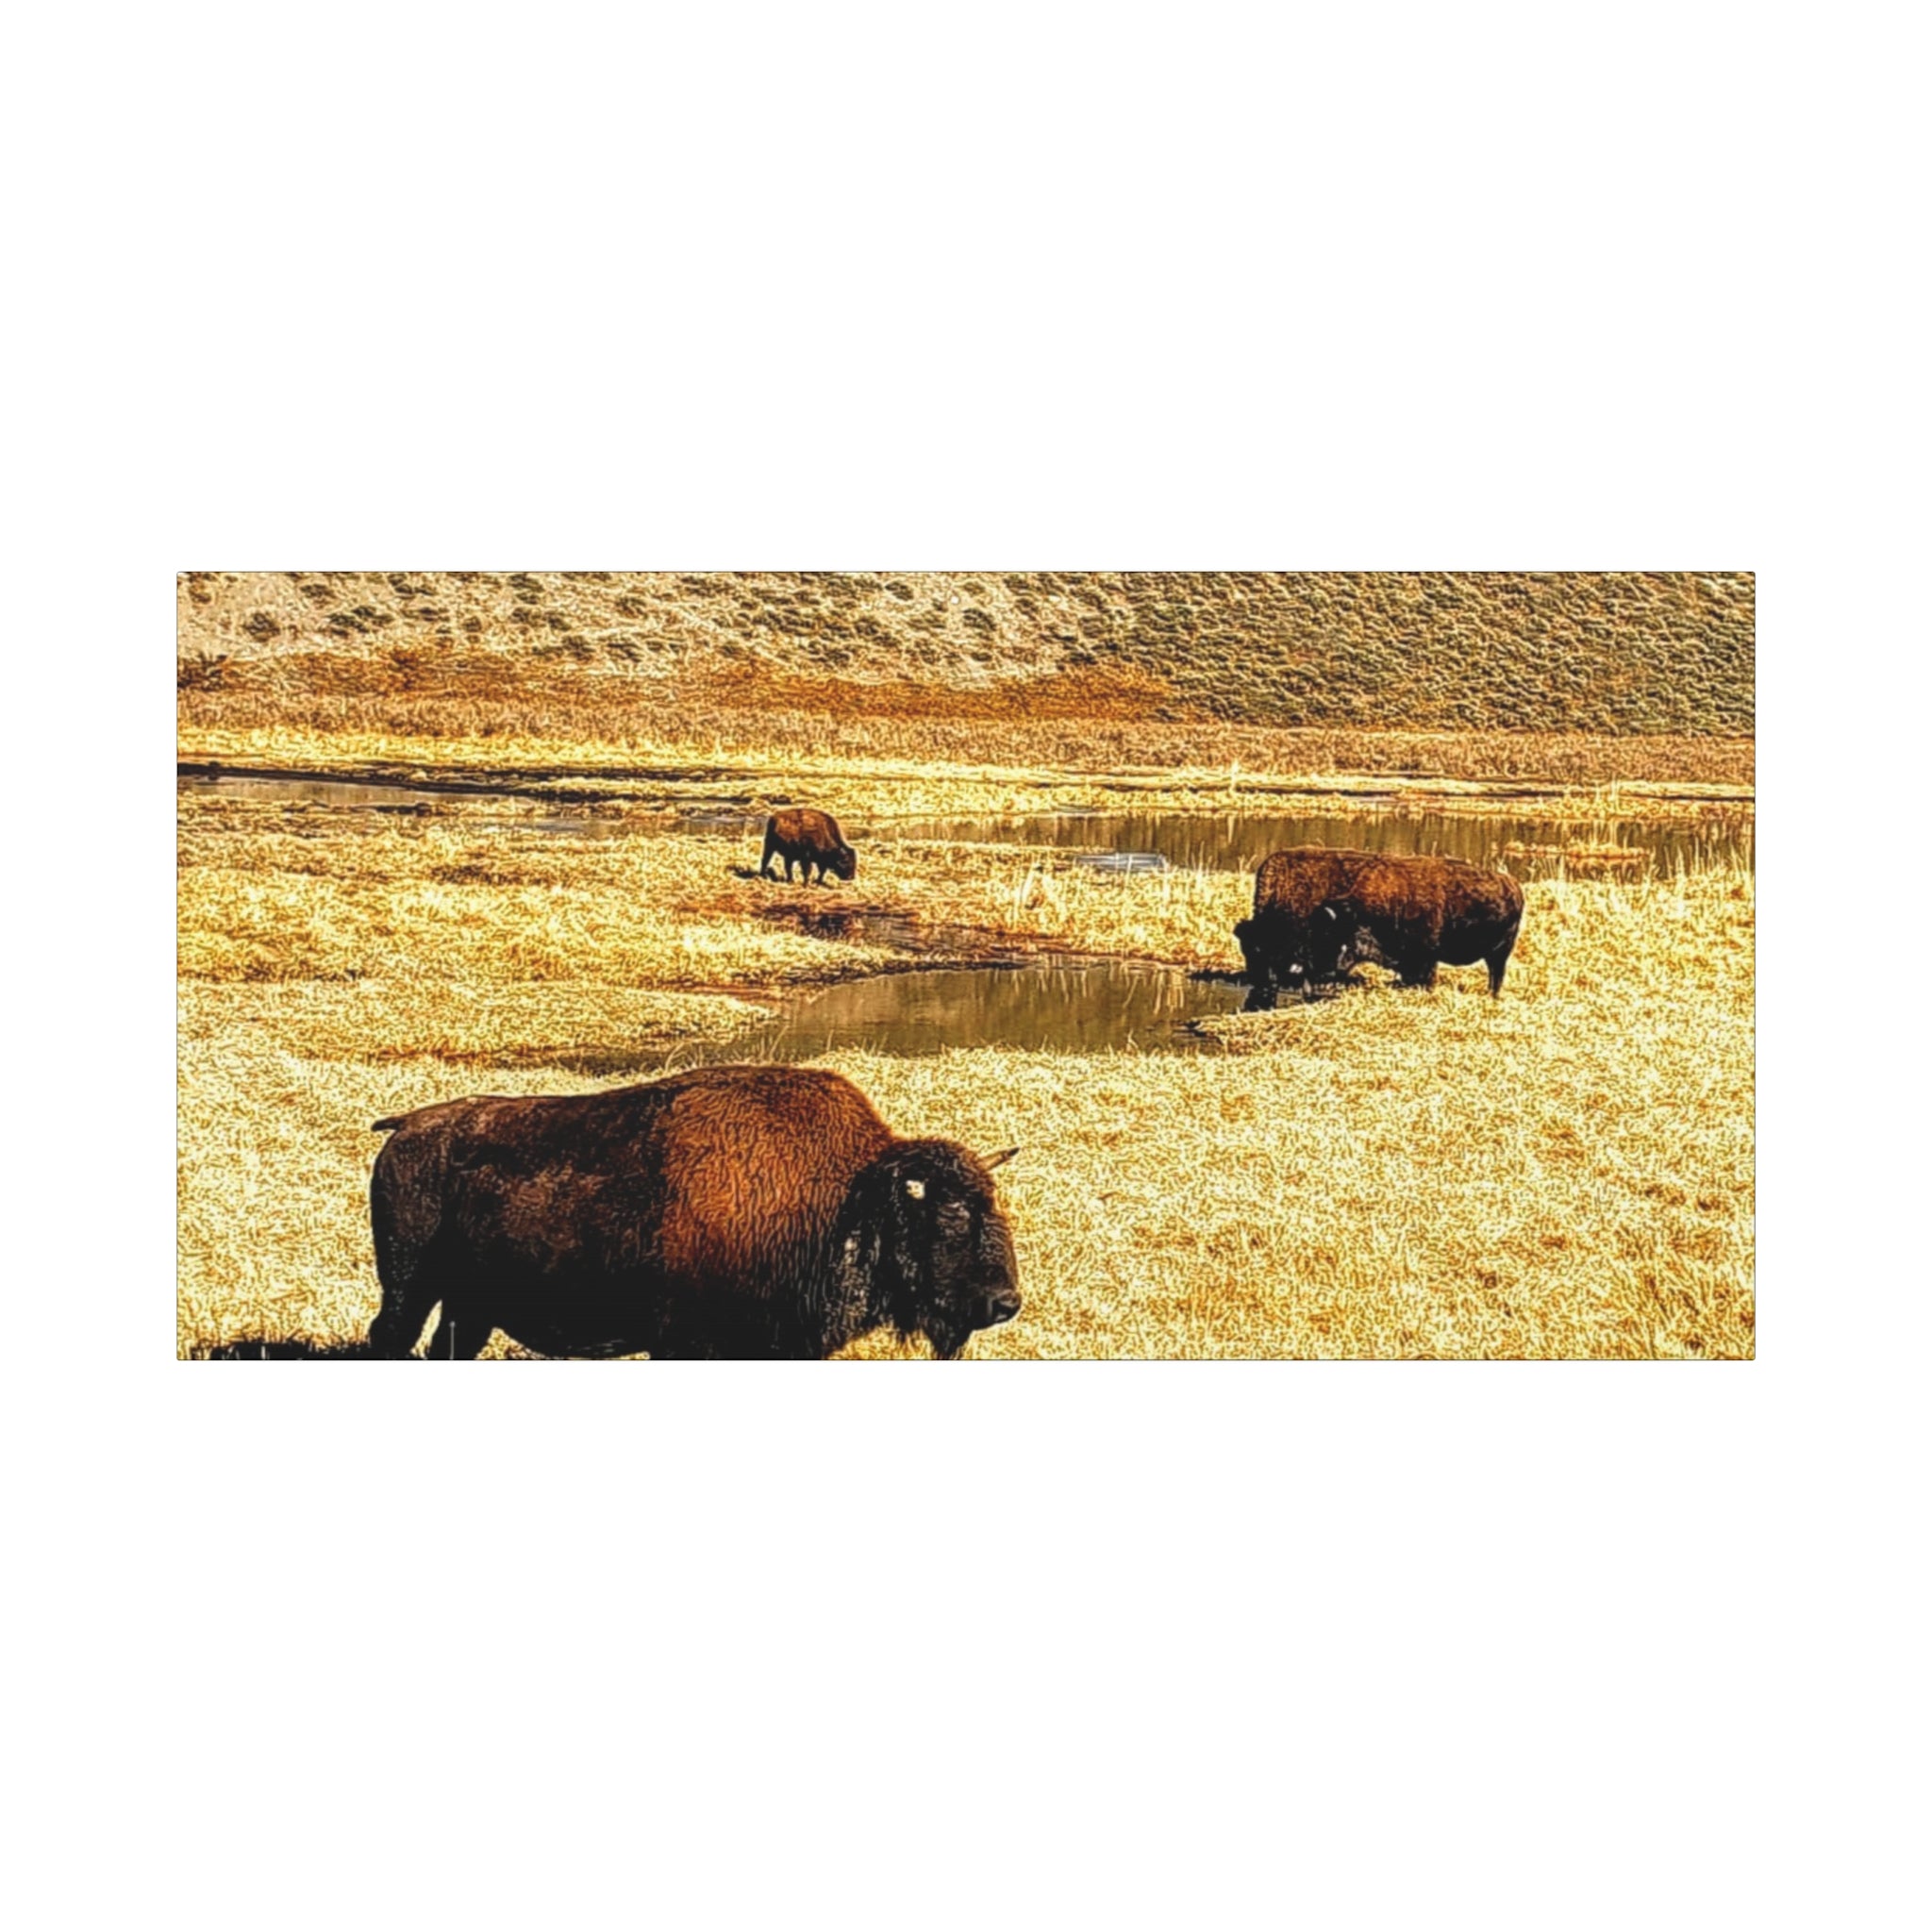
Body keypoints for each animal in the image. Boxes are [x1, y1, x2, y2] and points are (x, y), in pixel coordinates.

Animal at [367, 1065, 1020, 1360]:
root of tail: (407, 1125)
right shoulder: (686, 1340)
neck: (848, 1199)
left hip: (468, 1304)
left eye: (997, 1212)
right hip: (408, 1287)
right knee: (390, 1335)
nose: (1004, 1303)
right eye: (949, 1219)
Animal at [1237, 847, 1525, 1006]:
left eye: (1263, 949)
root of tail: (1512, 885)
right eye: (1247, 950)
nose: (1259, 982)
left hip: (1500, 953)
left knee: (1496, 974)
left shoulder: (1424, 958)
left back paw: (1492, 995)